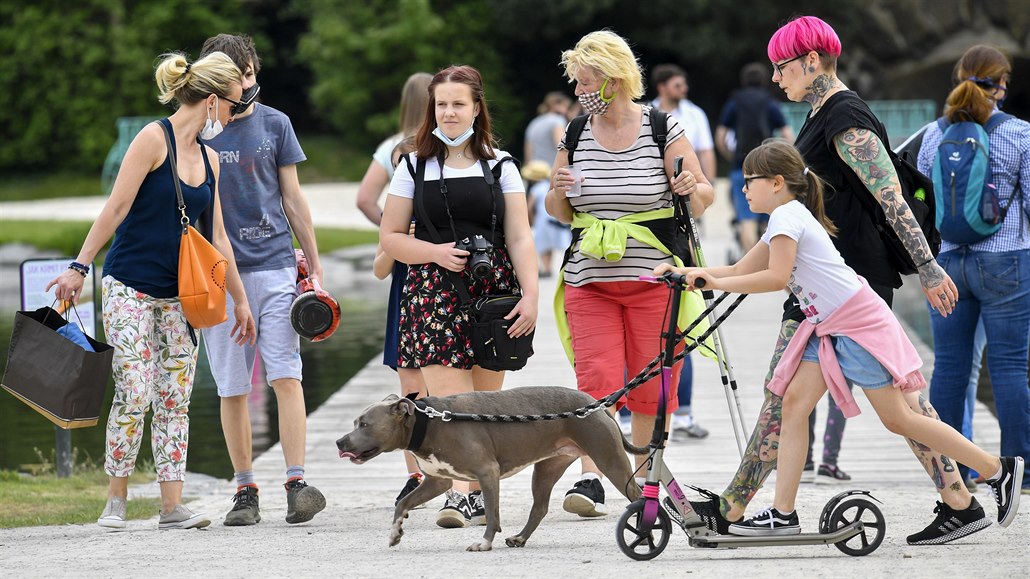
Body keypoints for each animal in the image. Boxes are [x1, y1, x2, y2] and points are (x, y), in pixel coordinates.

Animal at [337, 387, 642, 548]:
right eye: (355, 423)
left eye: (364, 424)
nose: (340, 442)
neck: (427, 423)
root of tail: (595, 404)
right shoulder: (438, 481)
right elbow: (403, 503)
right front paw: (395, 532)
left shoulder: (487, 472)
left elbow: (493, 515)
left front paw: (484, 543)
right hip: (547, 468)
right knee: (539, 507)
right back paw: (519, 538)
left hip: (609, 458)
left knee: (638, 495)